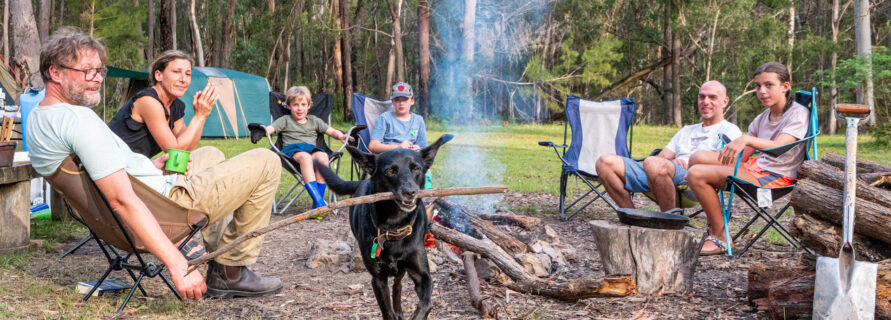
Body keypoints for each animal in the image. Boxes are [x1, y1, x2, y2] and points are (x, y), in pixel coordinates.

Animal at [318, 136, 450, 320]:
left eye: (416, 168)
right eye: (390, 171)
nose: (410, 192)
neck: (395, 226)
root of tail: (363, 179)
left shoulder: (423, 276)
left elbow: (426, 304)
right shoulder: (378, 279)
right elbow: (387, 312)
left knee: (398, 285)